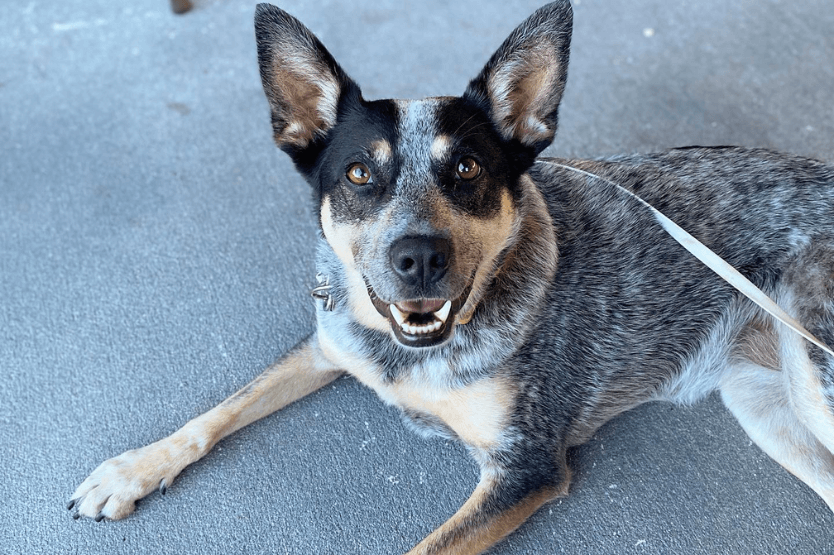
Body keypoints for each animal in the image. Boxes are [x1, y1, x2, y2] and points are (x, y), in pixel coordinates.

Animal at [70, 2, 832, 552]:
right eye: (359, 173)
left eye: (467, 168)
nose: (419, 257)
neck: (408, 354)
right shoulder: (327, 345)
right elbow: (220, 409)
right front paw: (132, 469)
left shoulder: (525, 466)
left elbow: (427, 548)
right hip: (765, 403)